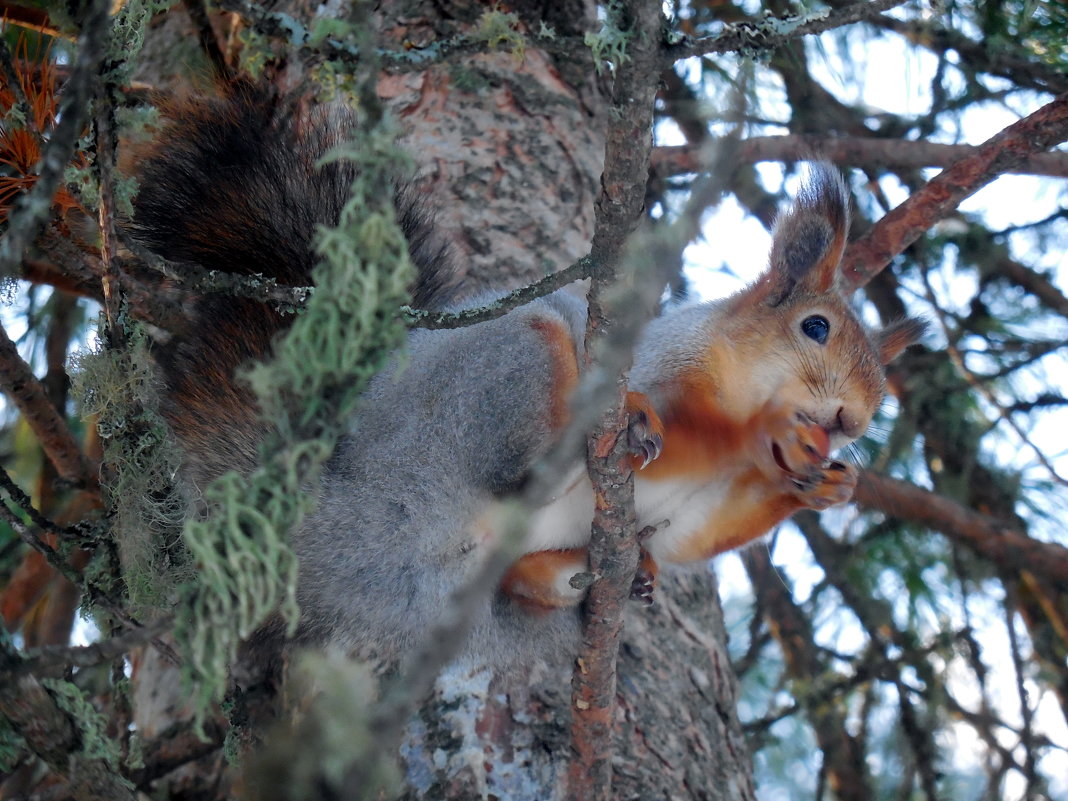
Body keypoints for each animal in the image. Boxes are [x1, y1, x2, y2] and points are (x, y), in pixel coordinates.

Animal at [127, 81, 927, 670]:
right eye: (816, 327)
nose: (853, 421)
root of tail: (328, 528)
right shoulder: (664, 363)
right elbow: (689, 424)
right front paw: (774, 433)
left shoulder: (692, 511)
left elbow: (698, 532)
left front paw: (826, 484)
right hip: (502, 369)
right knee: (518, 461)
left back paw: (592, 574)